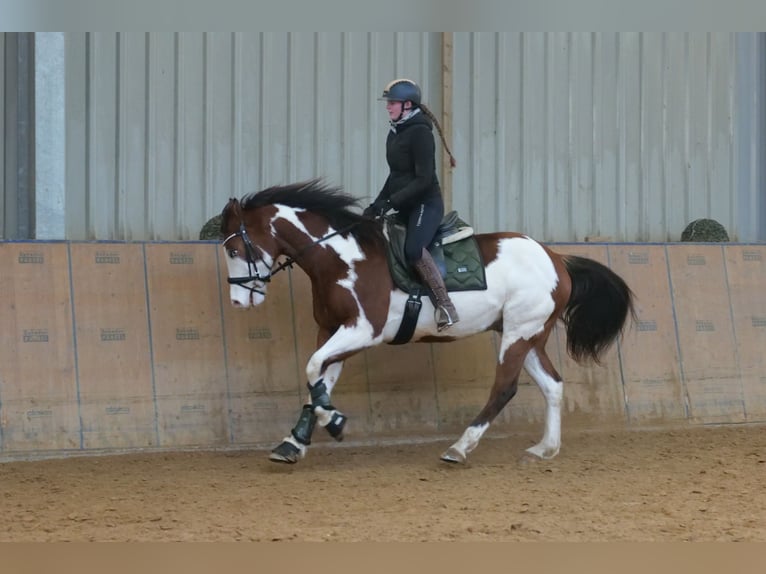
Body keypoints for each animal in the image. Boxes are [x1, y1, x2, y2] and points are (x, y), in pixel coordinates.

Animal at [220, 179, 635, 465]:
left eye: (234, 249)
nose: (238, 301)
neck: (342, 258)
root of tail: (556, 258)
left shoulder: (363, 330)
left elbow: (312, 369)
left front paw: (333, 421)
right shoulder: (333, 329)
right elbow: (316, 379)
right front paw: (294, 442)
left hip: (519, 332)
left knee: (504, 388)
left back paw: (460, 448)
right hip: (528, 333)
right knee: (553, 385)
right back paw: (545, 448)